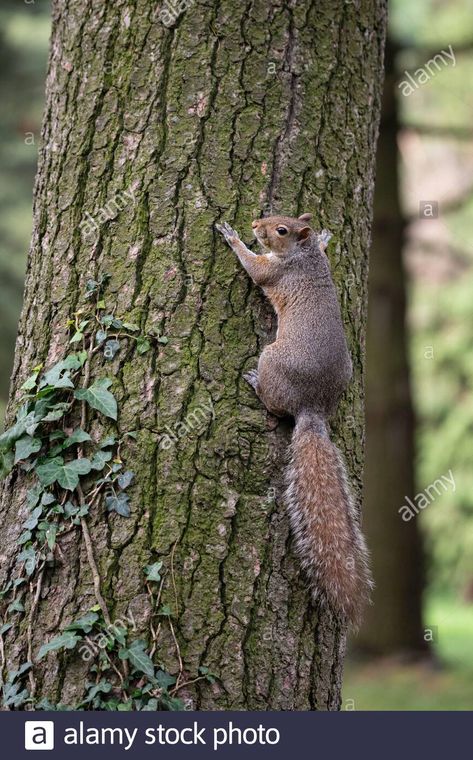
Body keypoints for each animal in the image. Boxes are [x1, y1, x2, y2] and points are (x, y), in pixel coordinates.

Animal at [217, 212, 372, 624]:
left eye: (281, 230)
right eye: (277, 218)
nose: (256, 224)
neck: (302, 256)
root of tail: (313, 407)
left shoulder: (274, 273)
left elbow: (254, 268)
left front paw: (233, 237)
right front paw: (325, 237)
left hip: (272, 359)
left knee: (274, 406)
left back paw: (255, 383)